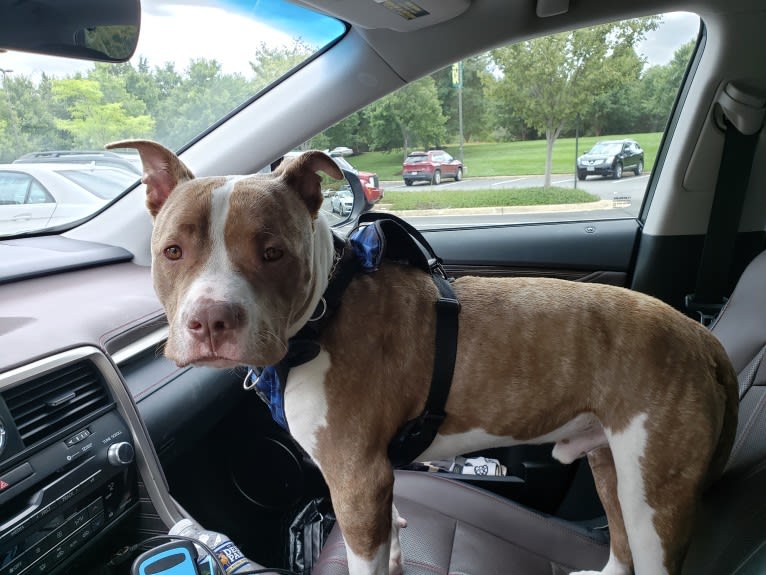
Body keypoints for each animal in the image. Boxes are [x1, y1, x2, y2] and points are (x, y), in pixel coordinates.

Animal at [108, 141, 736, 575]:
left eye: (273, 253)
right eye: (172, 251)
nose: (211, 320)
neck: (322, 313)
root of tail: (701, 337)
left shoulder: (356, 477)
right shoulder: (375, 478)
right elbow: (389, 537)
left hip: (656, 492)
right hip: (613, 464)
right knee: (621, 541)